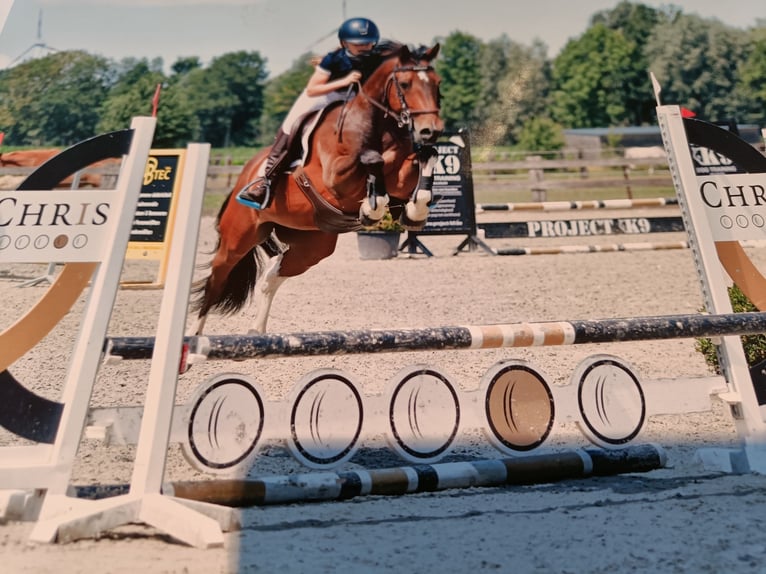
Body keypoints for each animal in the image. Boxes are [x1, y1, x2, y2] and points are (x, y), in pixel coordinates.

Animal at [191, 42, 444, 336]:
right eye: (404, 84)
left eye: (437, 83)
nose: (430, 130)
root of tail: (241, 181)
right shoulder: (336, 176)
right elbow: (373, 160)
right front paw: (370, 210)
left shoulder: (401, 174)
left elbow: (424, 159)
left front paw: (414, 212)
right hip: (239, 237)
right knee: (217, 278)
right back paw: (194, 337)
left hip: (312, 246)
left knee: (273, 274)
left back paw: (256, 331)